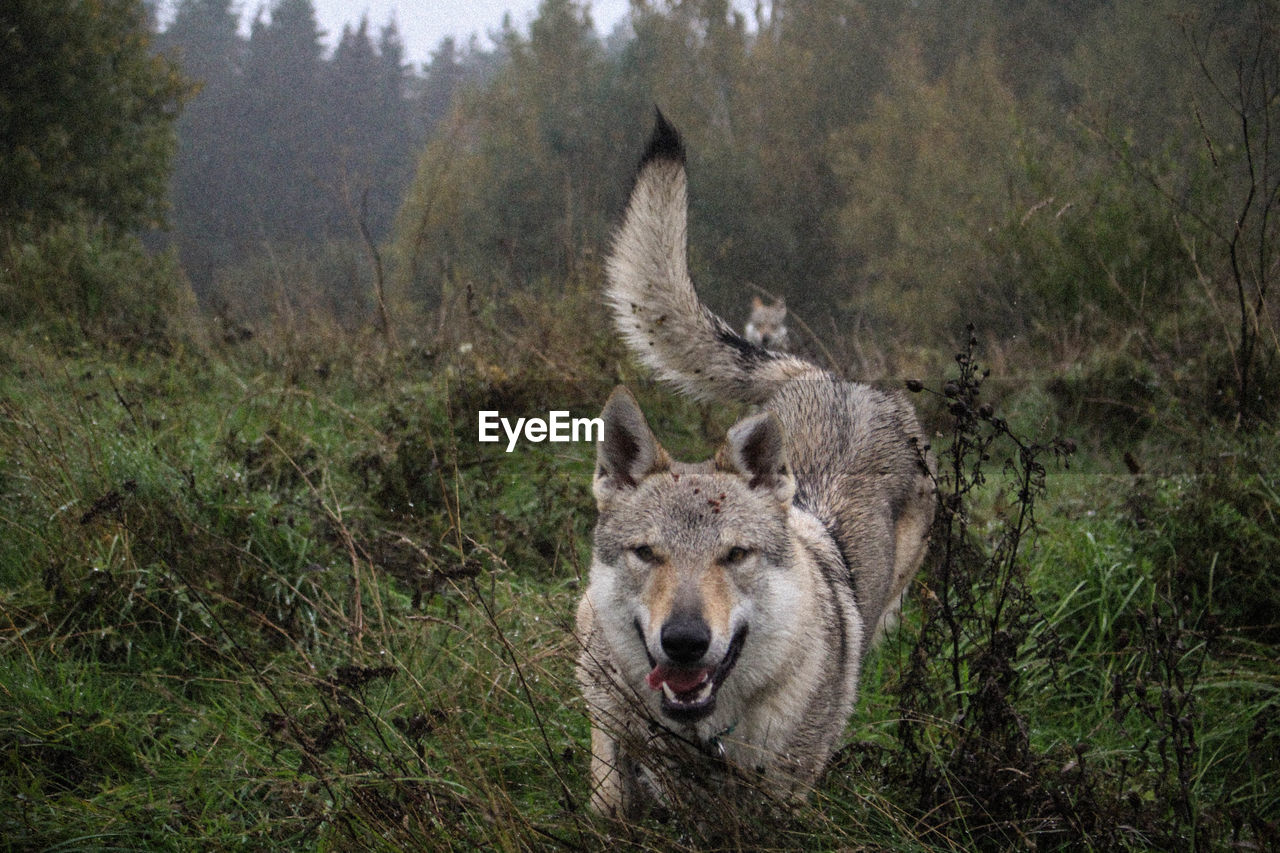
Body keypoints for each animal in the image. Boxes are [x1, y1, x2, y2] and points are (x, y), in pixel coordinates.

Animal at [576, 112, 936, 819]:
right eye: (646, 554)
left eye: (735, 555)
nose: (685, 641)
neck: (699, 735)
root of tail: (826, 378)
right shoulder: (604, 711)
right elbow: (607, 795)